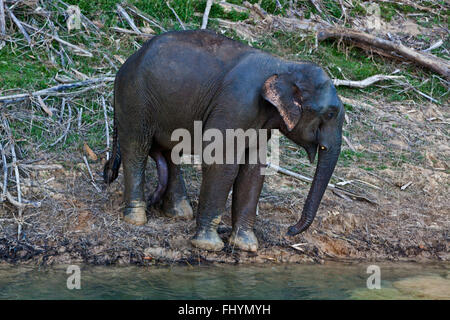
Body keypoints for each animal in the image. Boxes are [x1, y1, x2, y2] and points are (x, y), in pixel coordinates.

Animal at [103, 28, 344, 252]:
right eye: (330, 114)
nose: (290, 230)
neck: (286, 65)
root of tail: (126, 62)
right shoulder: (236, 104)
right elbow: (221, 164)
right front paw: (209, 245)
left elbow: (253, 171)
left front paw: (246, 245)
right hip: (135, 98)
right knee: (137, 148)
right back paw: (136, 217)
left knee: (171, 152)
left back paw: (179, 213)